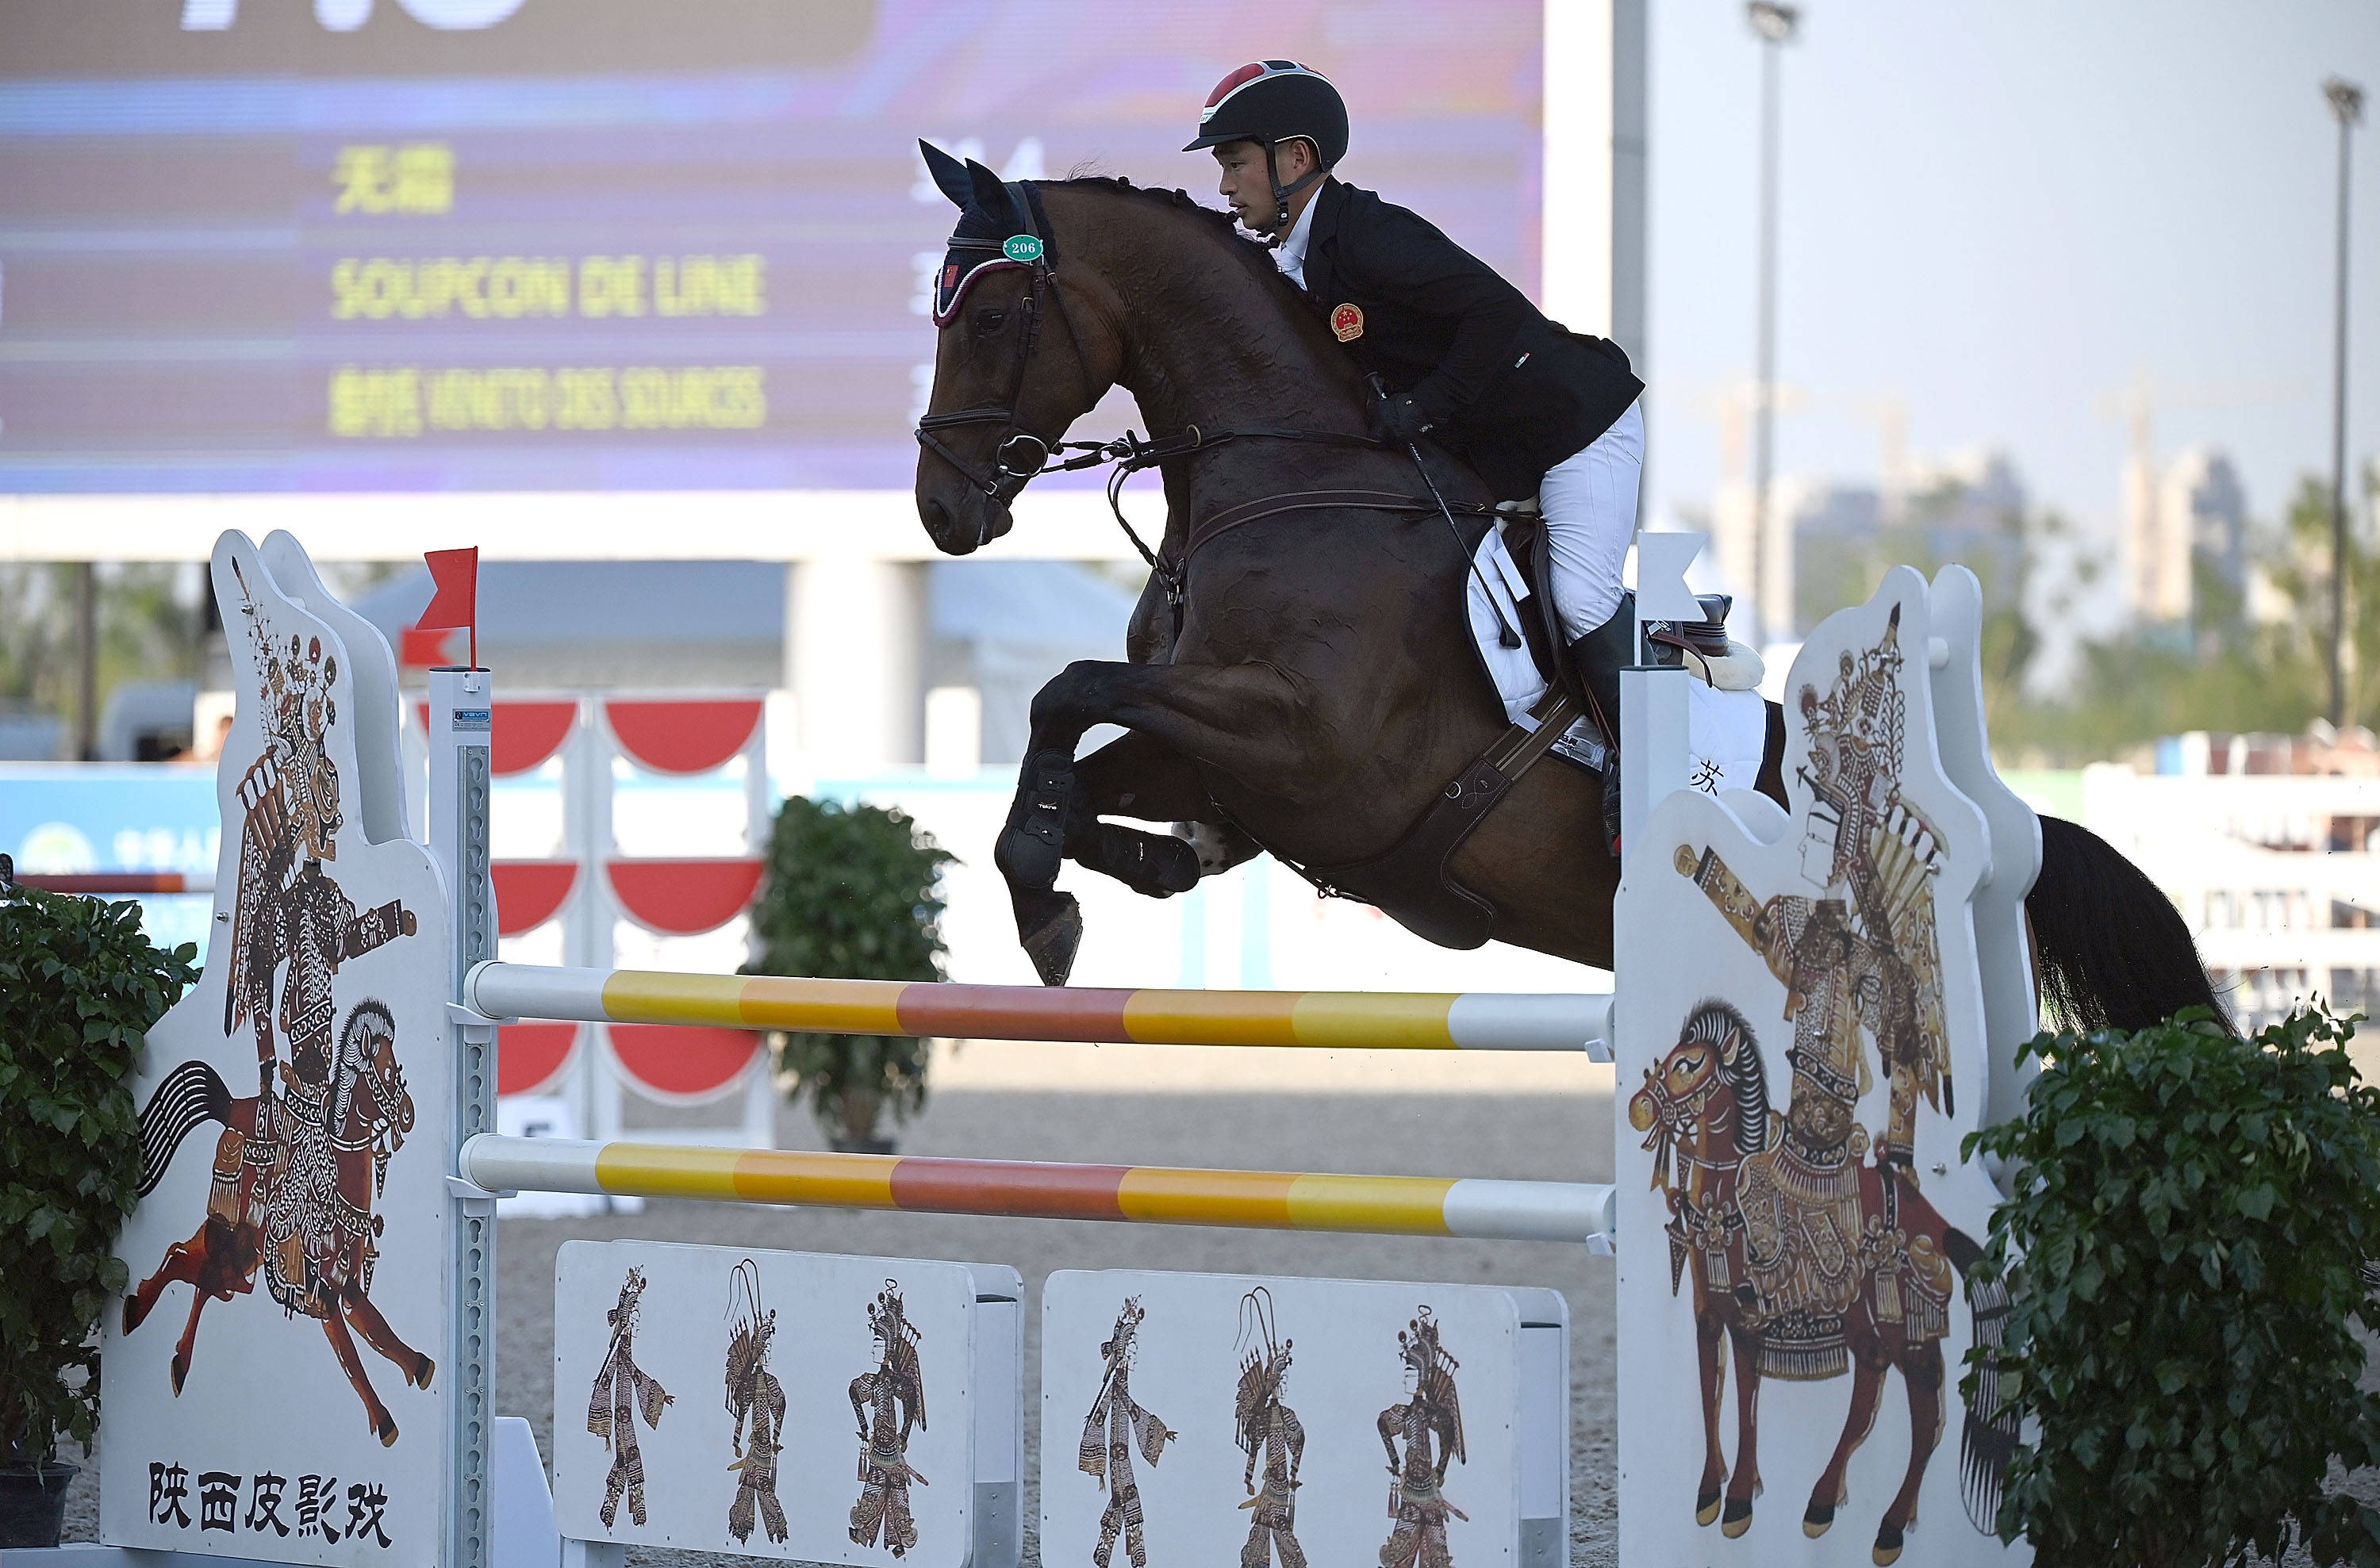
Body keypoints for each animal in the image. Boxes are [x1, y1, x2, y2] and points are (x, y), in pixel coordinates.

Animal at [119, 999, 433, 1456]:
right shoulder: (323, 1292)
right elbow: (351, 1354)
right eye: (388, 1070)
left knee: (193, 1268)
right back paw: (148, 1326)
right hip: (235, 1240)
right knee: (190, 1266)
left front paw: (420, 1366)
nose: (408, 1113)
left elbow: (374, 1325)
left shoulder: (345, 1285)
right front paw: (385, 1419)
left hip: (243, 1249)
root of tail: (232, 1106)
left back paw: (166, 1346)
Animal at [1628, 1004, 2018, 1568]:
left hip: (1903, 1328)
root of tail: (1931, 1216)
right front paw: (1708, 1493)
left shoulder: (1748, 1321)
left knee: (1926, 1415)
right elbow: (1710, 1395)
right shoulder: (1707, 1316)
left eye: (1690, 1064)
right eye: (1668, 1057)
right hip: (1866, 1324)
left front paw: (1738, 1502)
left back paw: (1889, 1529)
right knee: (1868, 1395)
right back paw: (1824, 1503)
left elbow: (1745, 1403)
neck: (1726, 1207)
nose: (1639, 1108)